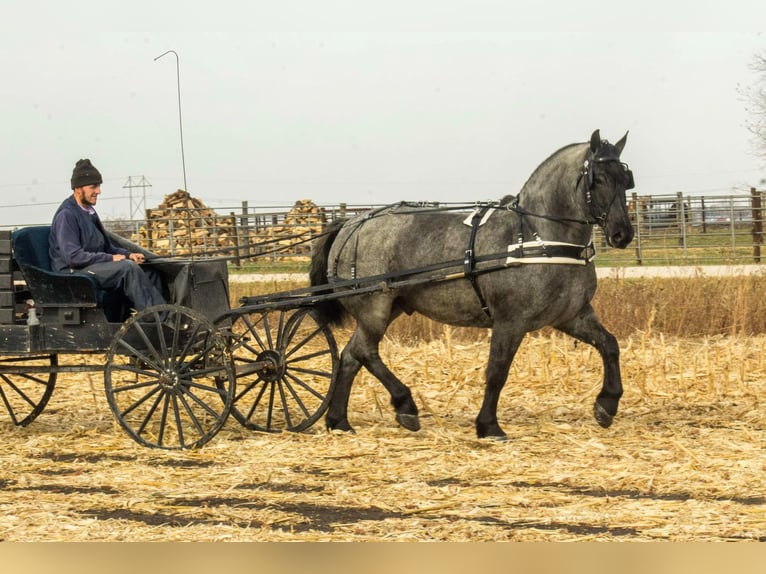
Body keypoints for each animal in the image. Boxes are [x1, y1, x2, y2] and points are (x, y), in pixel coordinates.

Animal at [309, 129, 635, 440]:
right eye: (599, 179)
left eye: (626, 179)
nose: (623, 234)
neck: (538, 237)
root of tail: (352, 223)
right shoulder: (510, 321)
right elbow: (497, 371)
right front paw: (489, 425)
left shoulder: (571, 315)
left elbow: (609, 344)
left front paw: (607, 404)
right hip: (374, 308)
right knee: (366, 352)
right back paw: (405, 405)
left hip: (388, 309)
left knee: (351, 356)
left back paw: (339, 421)